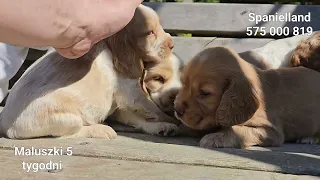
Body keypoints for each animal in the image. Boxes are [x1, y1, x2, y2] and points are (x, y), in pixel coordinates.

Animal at [0, 4, 180, 139]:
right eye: (150, 33)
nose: (172, 44)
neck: (110, 46)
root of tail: (4, 122)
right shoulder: (132, 93)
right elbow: (153, 107)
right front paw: (173, 118)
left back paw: (162, 127)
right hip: (66, 119)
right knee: (70, 133)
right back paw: (100, 129)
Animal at [175, 46, 320, 149]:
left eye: (205, 93)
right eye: (184, 84)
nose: (176, 110)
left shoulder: (271, 131)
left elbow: (238, 130)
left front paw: (216, 137)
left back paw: (310, 138)